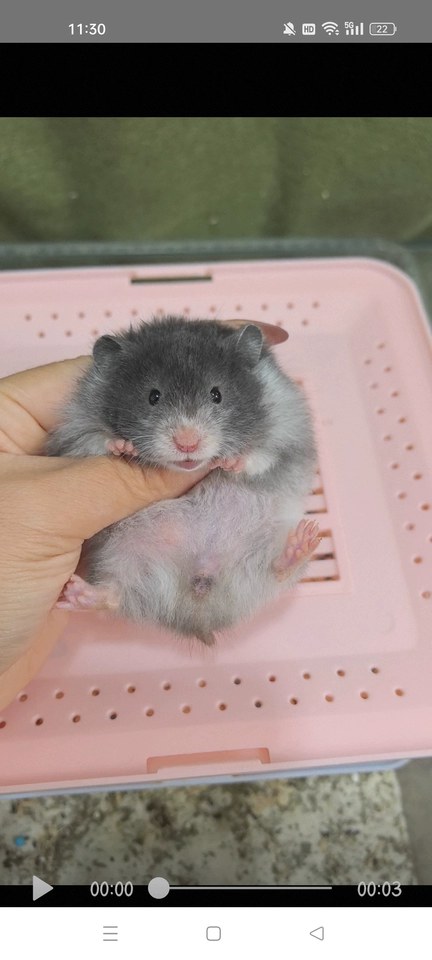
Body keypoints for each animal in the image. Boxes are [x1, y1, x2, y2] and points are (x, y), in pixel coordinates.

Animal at [44, 316, 320, 646]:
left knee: (276, 571)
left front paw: (229, 461)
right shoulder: (76, 434)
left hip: (266, 549)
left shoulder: (287, 431)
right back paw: (77, 594)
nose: (187, 443)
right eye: (153, 396)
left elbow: (261, 455)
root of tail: (196, 602)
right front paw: (123, 447)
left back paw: (303, 541)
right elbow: (96, 441)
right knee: (115, 596)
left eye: (217, 394)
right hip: (124, 559)